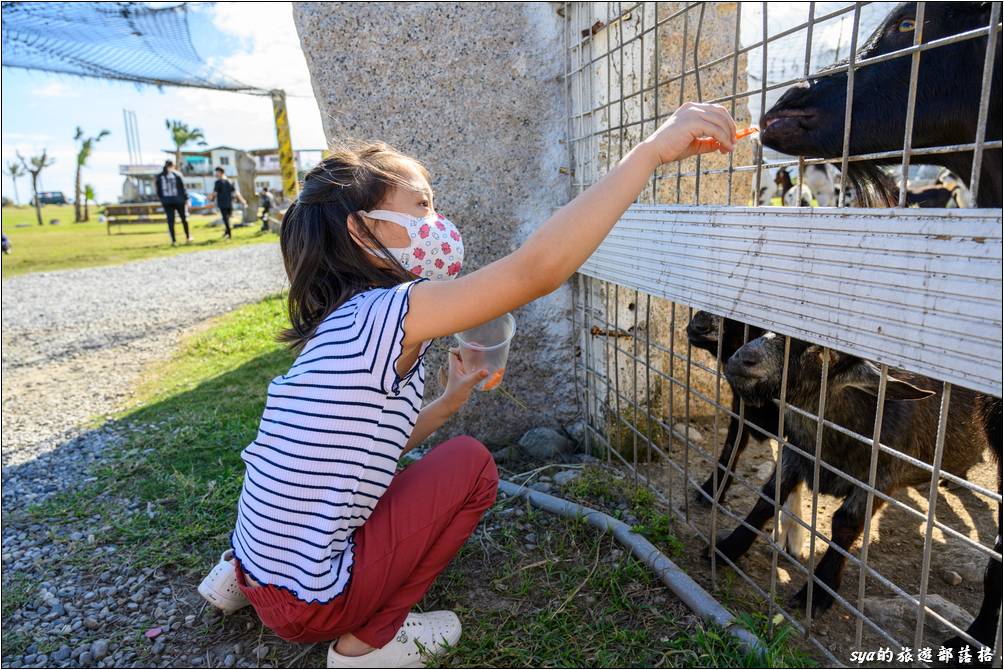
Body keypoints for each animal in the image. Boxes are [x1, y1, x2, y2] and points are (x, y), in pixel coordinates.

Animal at [718, 335, 999, 654]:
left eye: (823, 352)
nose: (742, 359)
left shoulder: (881, 477)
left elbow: (845, 523)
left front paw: (818, 592)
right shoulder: (796, 453)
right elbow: (768, 497)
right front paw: (727, 548)